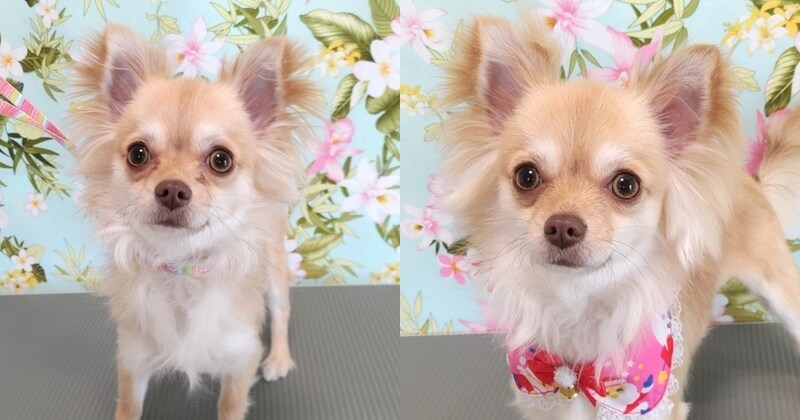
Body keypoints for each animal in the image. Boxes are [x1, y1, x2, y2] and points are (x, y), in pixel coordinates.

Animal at [69, 24, 320, 420]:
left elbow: (230, 406)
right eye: (137, 154)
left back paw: (279, 359)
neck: (182, 267)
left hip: (275, 268)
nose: (172, 189)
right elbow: (128, 408)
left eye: (221, 160)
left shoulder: (240, 359)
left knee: (282, 312)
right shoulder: (132, 358)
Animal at [438, 13, 800, 420]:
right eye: (526, 176)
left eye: (626, 185)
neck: (577, 305)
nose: (562, 226)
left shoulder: (658, 403)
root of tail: (751, 179)